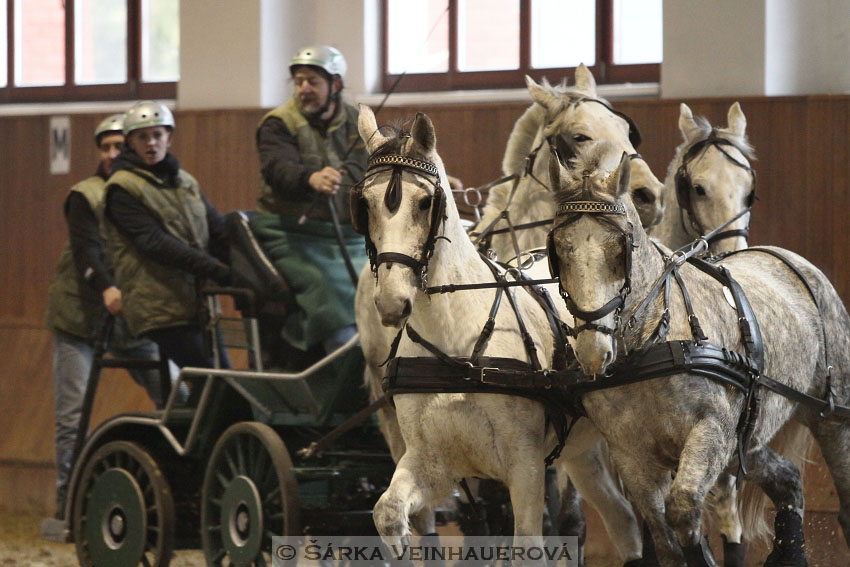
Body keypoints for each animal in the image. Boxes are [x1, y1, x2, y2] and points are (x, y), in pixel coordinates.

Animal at [352, 105, 644, 564]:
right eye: (364, 204)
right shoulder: (431, 462)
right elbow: (390, 515)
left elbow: (527, 543)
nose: (392, 302)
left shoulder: (525, 467)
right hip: (582, 452)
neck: (455, 343)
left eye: (424, 202)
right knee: (622, 521)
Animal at [544, 148, 848, 567]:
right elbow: (664, 540)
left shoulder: (712, 431)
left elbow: (684, 509)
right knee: (787, 480)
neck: (651, 346)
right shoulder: (631, 456)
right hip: (747, 438)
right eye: (558, 250)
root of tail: (789, 258)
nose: (593, 350)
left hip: (831, 419)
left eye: (621, 248)